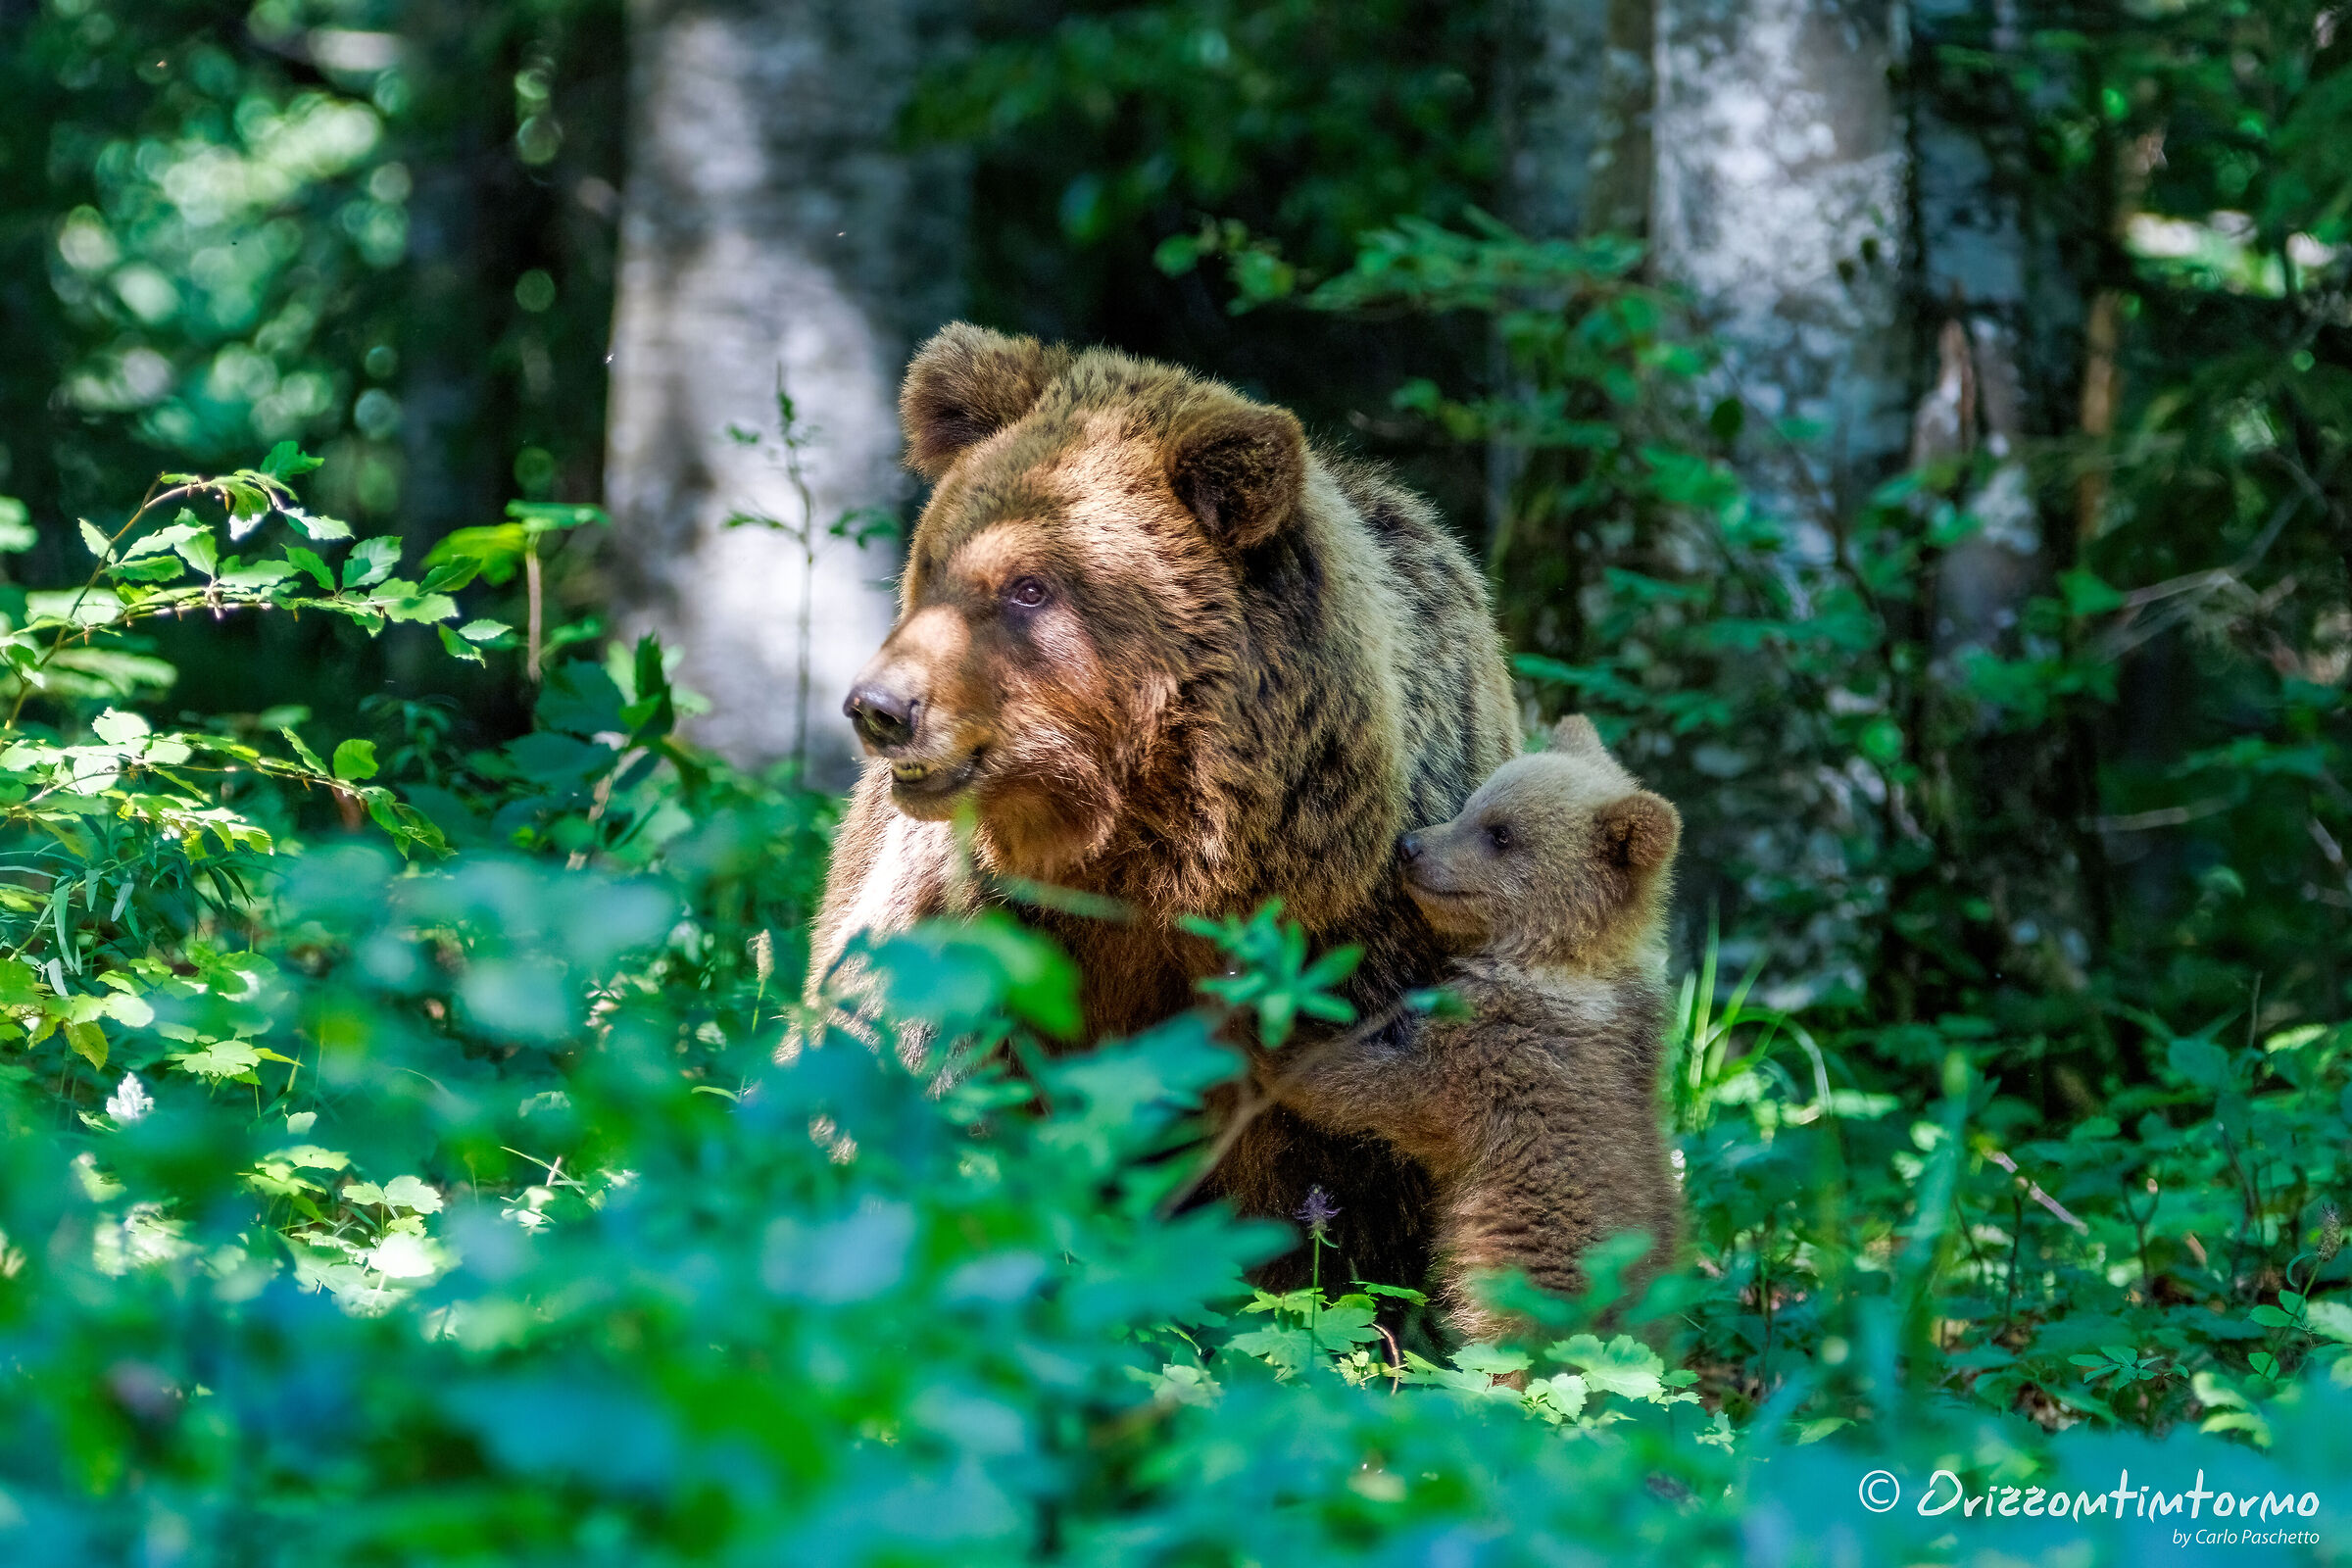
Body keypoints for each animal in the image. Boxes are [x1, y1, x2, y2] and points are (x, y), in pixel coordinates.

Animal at [807, 322, 1520, 1289]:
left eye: (1029, 586)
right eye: (934, 562)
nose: (881, 707)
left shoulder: (1363, 943)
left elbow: (1368, 1181)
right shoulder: (987, 917)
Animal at [1254, 716, 1683, 1343]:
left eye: (1501, 834)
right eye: (1471, 804)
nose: (1409, 847)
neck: (1553, 965)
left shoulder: (1501, 1058)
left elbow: (1387, 1092)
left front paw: (1277, 1033)